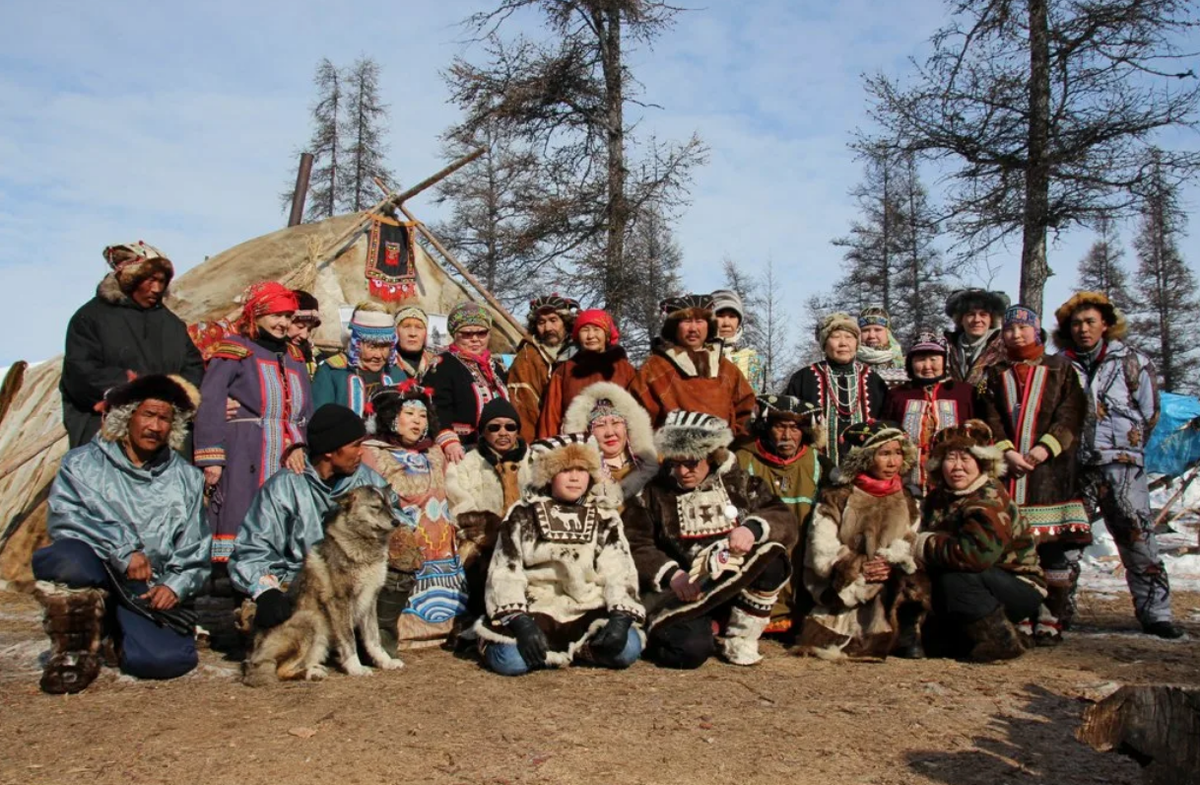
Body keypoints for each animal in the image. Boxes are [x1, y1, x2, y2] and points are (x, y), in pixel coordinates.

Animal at [243, 489, 408, 686]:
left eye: (390, 505)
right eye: (375, 506)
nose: (396, 522)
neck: (362, 543)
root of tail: (255, 652)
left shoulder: (369, 602)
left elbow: (374, 639)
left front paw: (386, 662)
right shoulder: (340, 603)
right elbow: (349, 640)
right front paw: (356, 668)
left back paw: (315, 668)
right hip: (312, 621)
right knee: (281, 670)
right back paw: (312, 673)